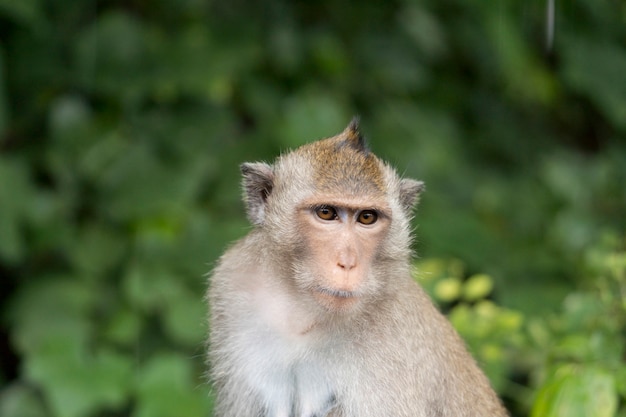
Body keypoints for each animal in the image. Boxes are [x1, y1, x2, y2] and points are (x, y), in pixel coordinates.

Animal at [206, 118, 508, 416]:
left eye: (367, 217)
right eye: (326, 213)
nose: (348, 263)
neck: (306, 315)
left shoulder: (395, 338)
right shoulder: (234, 282)